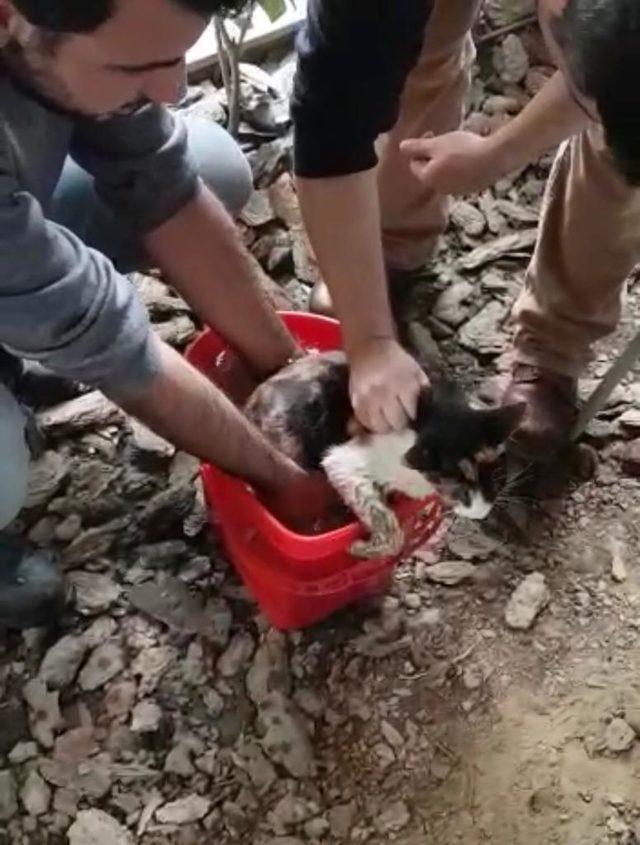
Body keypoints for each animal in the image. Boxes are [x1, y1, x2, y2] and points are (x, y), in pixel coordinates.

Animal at [242, 348, 524, 552]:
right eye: (455, 484)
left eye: (495, 473)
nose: (481, 510)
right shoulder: (343, 460)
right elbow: (387, 526)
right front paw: (362, 549)